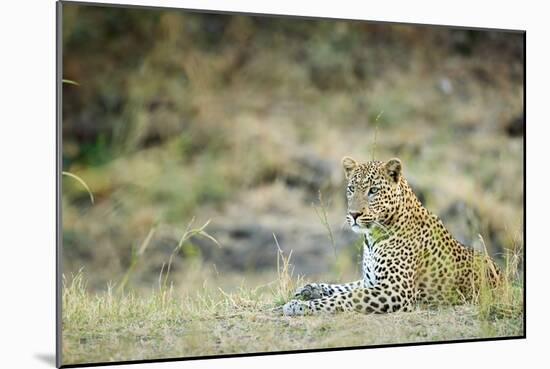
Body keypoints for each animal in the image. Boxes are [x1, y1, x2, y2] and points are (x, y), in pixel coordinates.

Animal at [282, 157, 502, 314]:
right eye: (351, 188)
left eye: (373, 190)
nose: (354, 214)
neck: (371, 239)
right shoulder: (371, 282)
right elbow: (343, 288)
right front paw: (309, 289)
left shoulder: (395, 290)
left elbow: (344, 297)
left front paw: (298, 306)